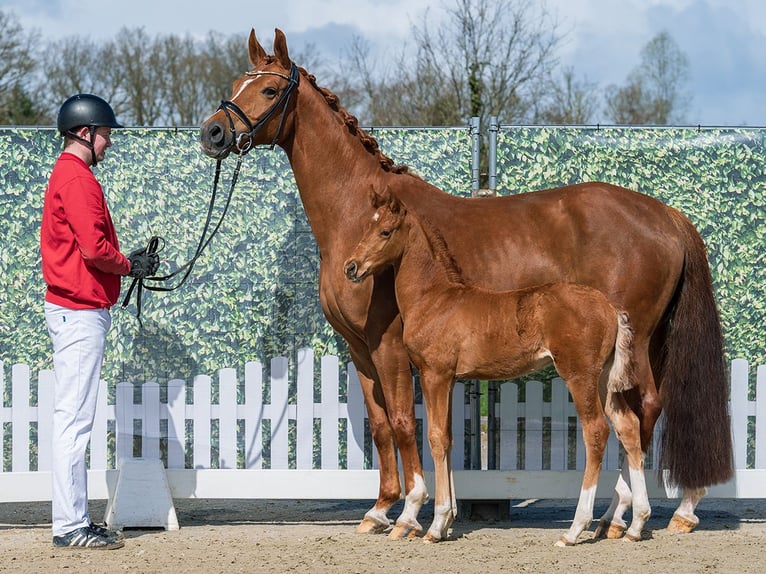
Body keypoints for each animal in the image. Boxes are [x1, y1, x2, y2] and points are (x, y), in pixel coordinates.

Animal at [343, 186, 649, 544]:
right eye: (367, 226)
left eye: (385, 231)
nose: (351, 267)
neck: (435, 299)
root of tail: (610, 308)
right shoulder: (449, 379)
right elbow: (448, 438)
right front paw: (446, 522)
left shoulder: (435, 374)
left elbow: (435, 437)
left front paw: (435, 525)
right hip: (603, 379)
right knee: (628, 426)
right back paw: (637, 524)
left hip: (580, 375)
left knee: (596, 431)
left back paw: (575, 529)